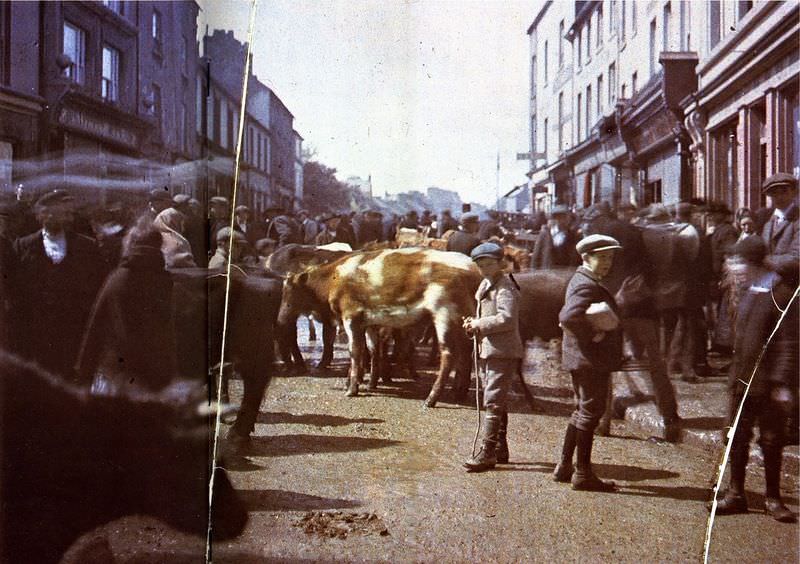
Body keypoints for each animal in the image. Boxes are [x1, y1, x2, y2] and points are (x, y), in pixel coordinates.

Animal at [278, 248, 478, 406]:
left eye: (289, 292)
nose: (280, 319)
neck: (333, 279)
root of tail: (473, 269)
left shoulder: (351, 317)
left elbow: (355, 351)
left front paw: (352, 388)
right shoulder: (370, 322)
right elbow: (373, 350)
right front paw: (370, 383)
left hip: (444, 314)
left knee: (449, 355)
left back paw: (431, 399)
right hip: (462, 320)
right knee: (466, 352)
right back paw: (458, 393)